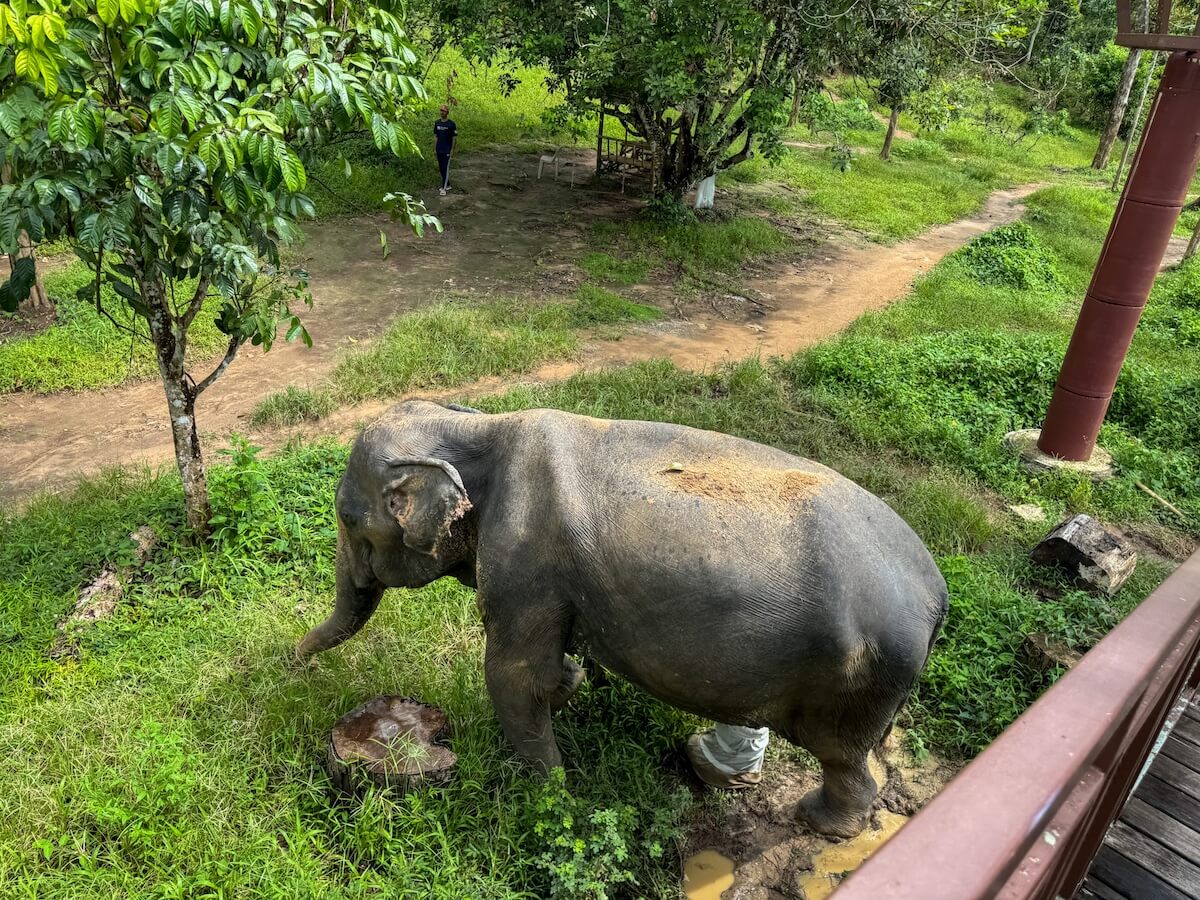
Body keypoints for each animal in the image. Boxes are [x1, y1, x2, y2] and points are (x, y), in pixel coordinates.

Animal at [297, 399, 948, 837]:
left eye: (348, 519)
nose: (292, 665)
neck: (482, 425)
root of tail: (937, 596)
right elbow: (543, 669)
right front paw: (570, 688)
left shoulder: (523, 558)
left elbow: (514, 675)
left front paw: (549, 791)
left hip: (858, 681)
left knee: (844, 759)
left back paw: (818, 822)